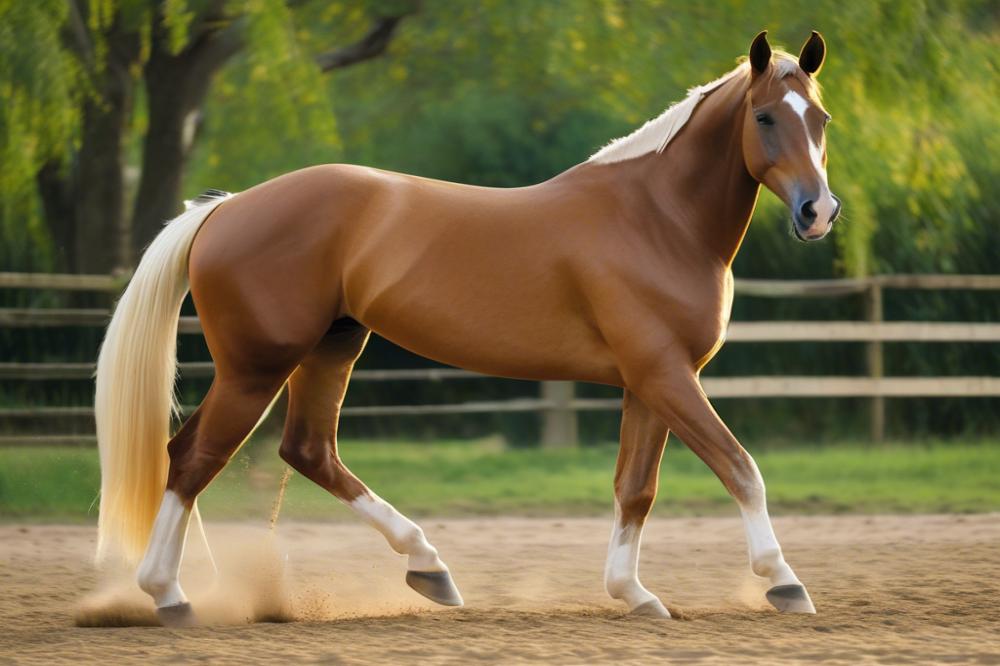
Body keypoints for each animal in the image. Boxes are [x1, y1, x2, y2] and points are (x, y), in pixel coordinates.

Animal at [97, 29, 840, 624]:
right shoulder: (666, 375)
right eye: (765, 117)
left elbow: (637, 489)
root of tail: (225, 208)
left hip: (331, 347)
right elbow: (741, 469)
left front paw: (635, 595)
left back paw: (426, 568)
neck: (655, 219)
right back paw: (171, 595)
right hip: (257, 367)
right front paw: (784, 583)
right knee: (193, 458)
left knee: (302, 451)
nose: (818, 212)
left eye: (822, 118)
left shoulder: (650, 382)